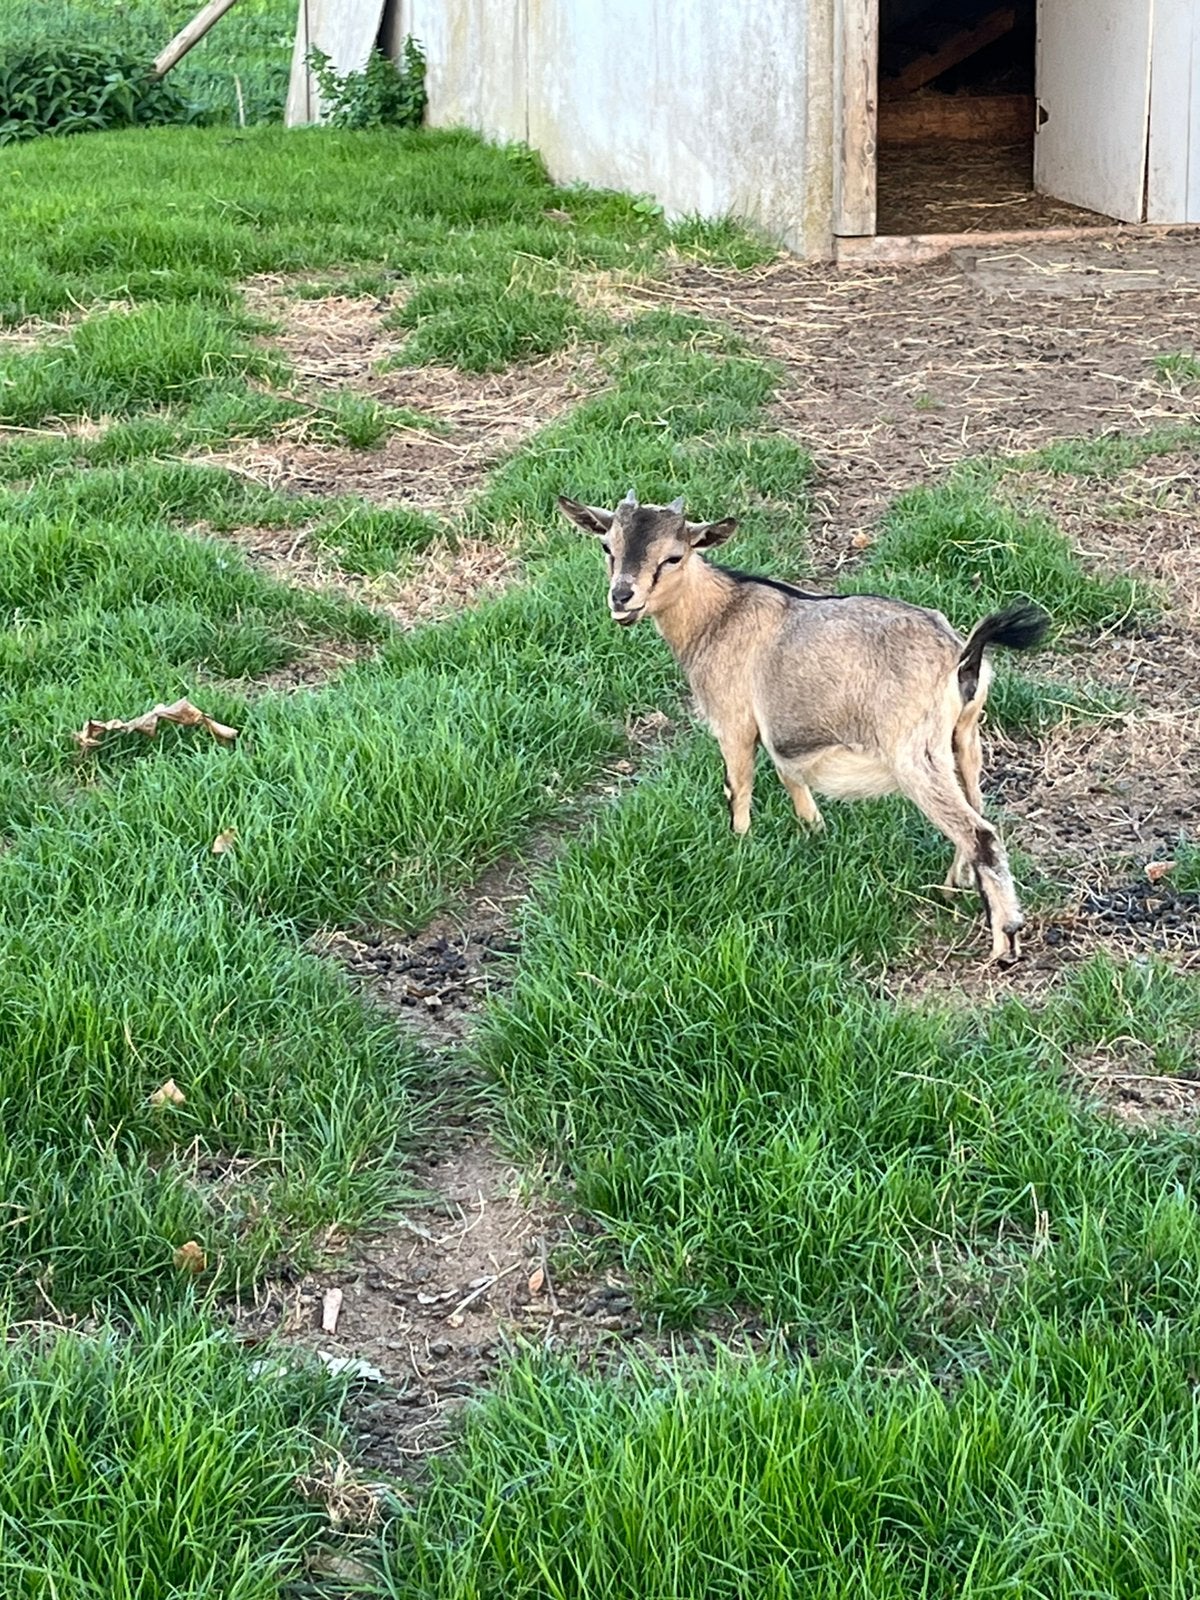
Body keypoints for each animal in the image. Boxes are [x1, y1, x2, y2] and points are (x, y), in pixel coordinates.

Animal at [558, 489, 1049, 963]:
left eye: (673, 556)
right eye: (607, 547)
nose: (622, 597)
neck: (718, 614)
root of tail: (962, 657)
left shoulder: (733, 719)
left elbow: (740, 786)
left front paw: (740, 847)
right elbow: (789, 772)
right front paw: (816, 830)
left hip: (914, 752)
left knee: (980, 833)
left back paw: (1004, 941)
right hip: (963, 739)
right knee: (977, 809)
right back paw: (952, 887)